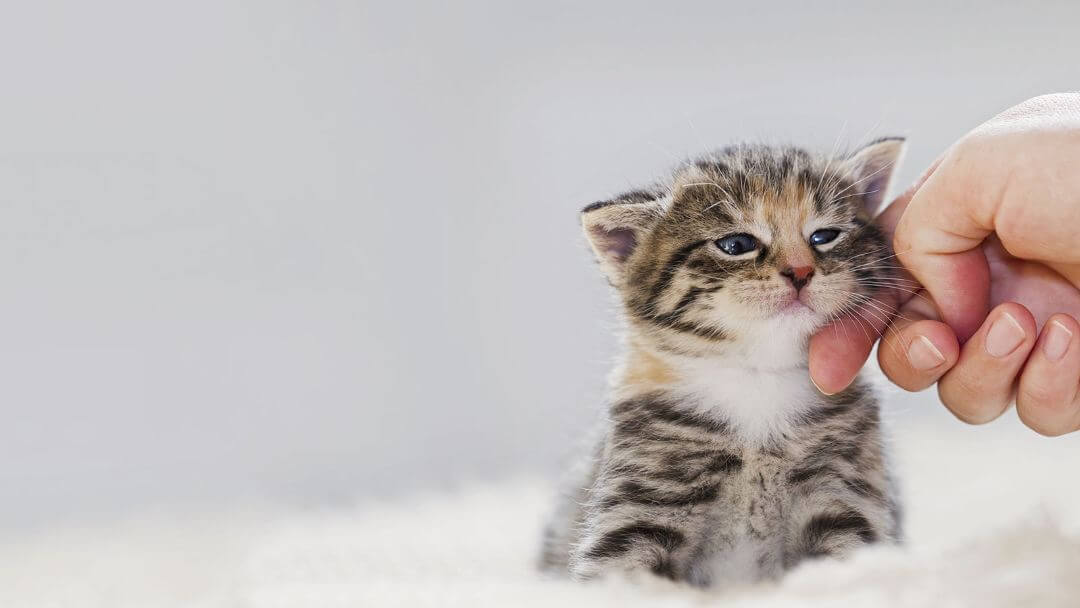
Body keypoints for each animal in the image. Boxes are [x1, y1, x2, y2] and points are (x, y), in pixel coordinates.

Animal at [544, 139, 907, 591]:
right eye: (736, 245)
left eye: (824, 236)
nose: (801, 271)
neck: (758, 379)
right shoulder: (639, 506)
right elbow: (622, 577)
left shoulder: (842, 492)